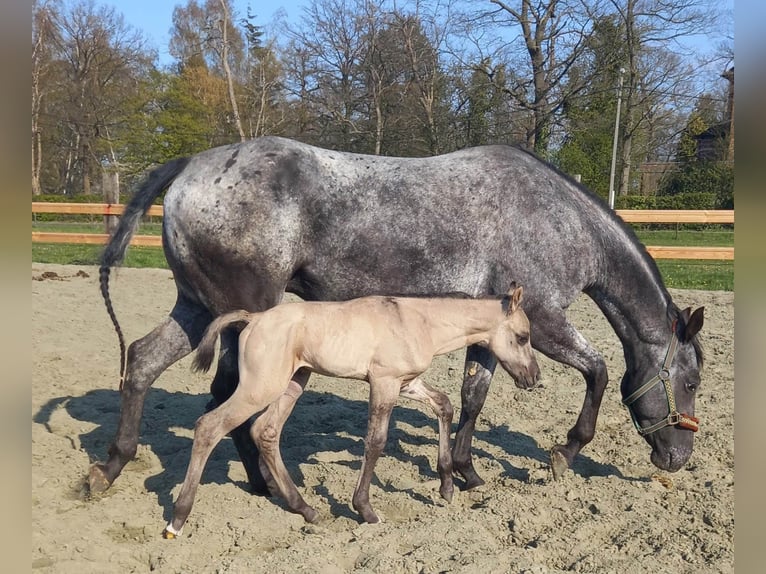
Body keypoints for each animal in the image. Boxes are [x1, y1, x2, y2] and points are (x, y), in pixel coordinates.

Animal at [91, 136, 708, 500]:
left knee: (142, 362)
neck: (557, 220)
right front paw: (563, 454)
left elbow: (472, 399)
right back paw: (270, 487)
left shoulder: (494, 333)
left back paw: (112, 466)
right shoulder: (546, 320)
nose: (679, 459)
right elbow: (599, 372)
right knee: (230, 400)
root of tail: (192, 165)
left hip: (198, 308)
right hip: (243, 314)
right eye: (692, 380)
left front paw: (465, 472)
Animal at [166, 286, 544, 536]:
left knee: (266, 432)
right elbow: (375, 441)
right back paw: (177, 520)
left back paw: (306, 509)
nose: (534, 378)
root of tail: (253, 319)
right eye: (523, 336)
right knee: (210, 426)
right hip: (260, 387)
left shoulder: (407, 383)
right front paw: (365, 509)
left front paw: (447, 487)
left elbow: (444, 405)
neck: (416, 321)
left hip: (294, 381)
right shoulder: (384, 383)